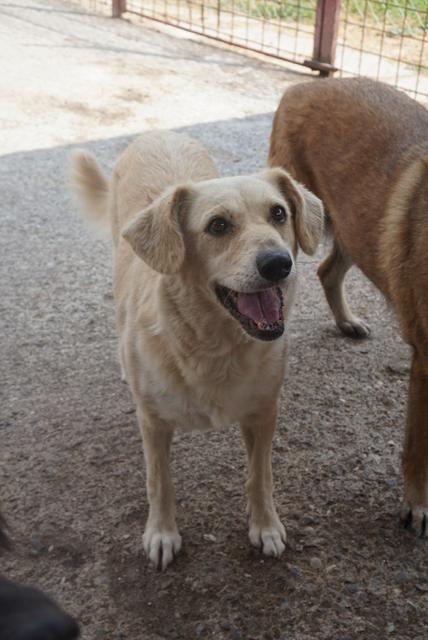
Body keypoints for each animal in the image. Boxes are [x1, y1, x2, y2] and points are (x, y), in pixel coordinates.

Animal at [72, 127, 320, 568]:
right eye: (218, 225)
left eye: (279, 214)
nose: (279, 263)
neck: (214, 347)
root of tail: (158, 133)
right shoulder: (153, 424)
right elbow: (159, 482)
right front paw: (162, 533)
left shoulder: (263, 414)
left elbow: (260, 476)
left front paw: (265, 526)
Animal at [270, 77, 428, 536]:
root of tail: (304, 86)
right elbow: (418, 450)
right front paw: (416, 504)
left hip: (356, 229)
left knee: (328, 271)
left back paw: (347, 322)